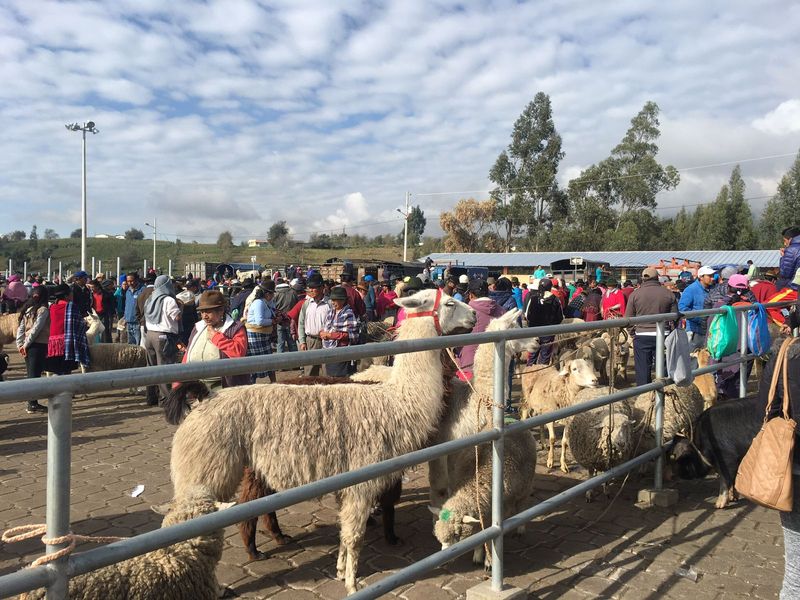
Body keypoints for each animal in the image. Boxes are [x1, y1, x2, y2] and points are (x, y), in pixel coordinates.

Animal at [168, 290, 476, 596]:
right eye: (449, 302)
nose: (474, 315)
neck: (396, 400)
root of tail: (204, 398)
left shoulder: (346, 483)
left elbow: (344, 530)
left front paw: (339, 570)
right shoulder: (362, 480)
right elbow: (354, 536)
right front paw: (352, 584)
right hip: (206, 470)